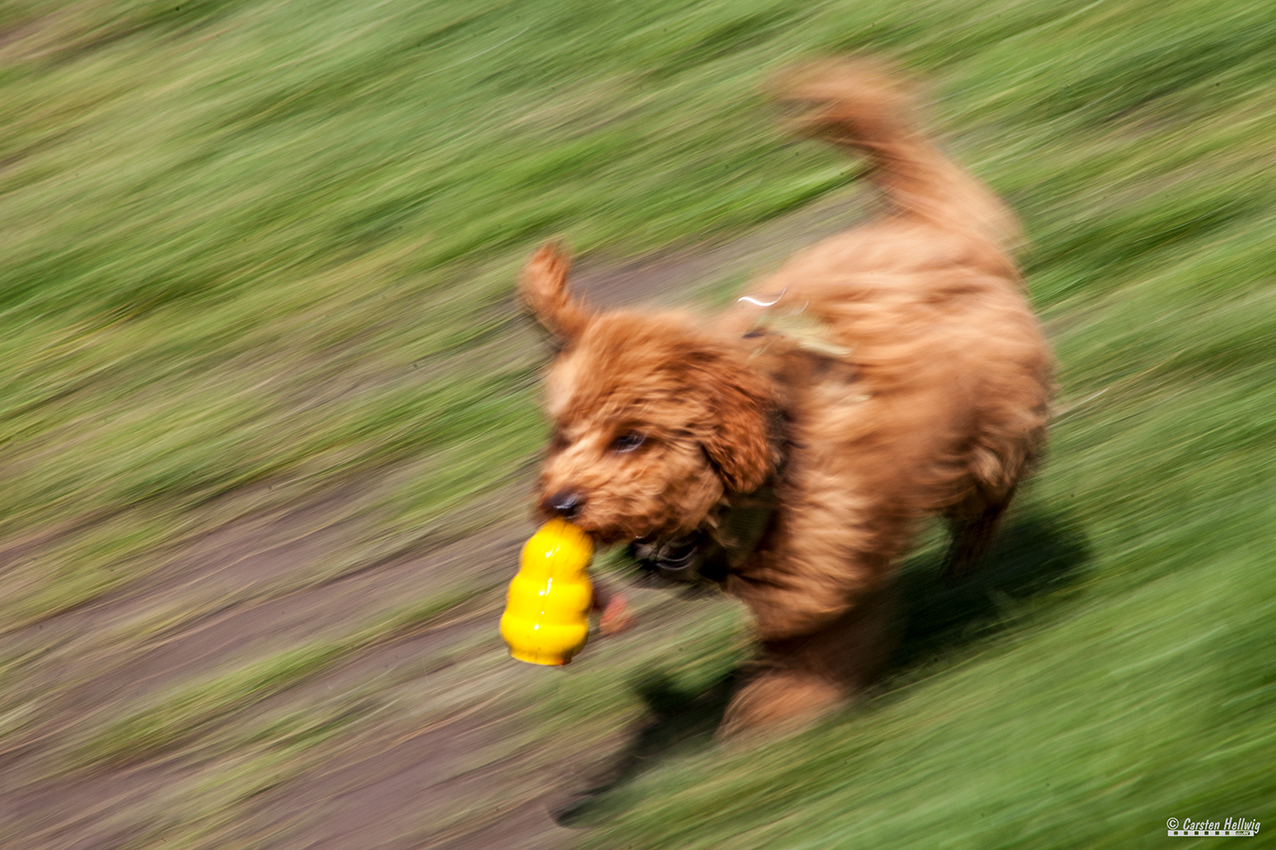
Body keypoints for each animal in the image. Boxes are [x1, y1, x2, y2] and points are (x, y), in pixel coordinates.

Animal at [520, 61, 1056, 735]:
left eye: (630, 440)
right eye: (563, 437)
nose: (559, 503)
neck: (775, 434)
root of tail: (925, 228)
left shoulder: (837, 518)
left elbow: (811, 610)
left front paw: (785, 702)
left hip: (991, 401)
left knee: (994, 471)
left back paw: (971, 546)